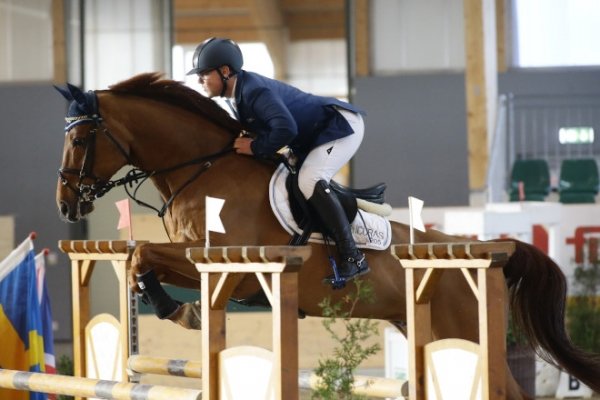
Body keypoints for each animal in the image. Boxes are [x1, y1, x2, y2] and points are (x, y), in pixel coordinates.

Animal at [56, 73, 600, 398]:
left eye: (80, 139)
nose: (65, 205)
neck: (203, 168)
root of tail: (487, 251)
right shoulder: (204, 264)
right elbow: (140, 258)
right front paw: (178, 309)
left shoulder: (221, 261)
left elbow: (144, 252)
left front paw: (180, 311)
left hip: (465, 330)